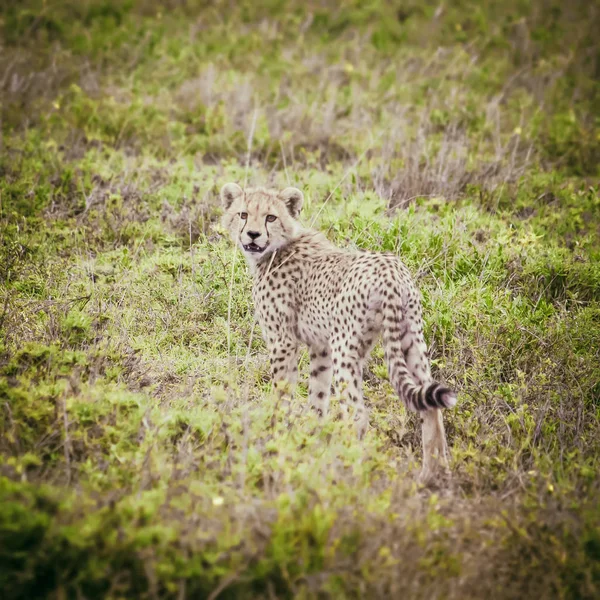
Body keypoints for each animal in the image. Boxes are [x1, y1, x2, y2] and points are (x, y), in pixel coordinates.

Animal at [223, 180, 458, 480]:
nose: (252, 235)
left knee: (358, 414)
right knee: (431, 409)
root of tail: (391, 268)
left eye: (270, 217)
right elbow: (318, 397)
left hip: (346, 350)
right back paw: (432, 477)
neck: (279, 247)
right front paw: (311, 441)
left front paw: (278, 438)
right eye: (242, 214)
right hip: (411, 342)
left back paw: (350, 471)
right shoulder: (320, 347)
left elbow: (281, 395)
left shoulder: (283, 341)